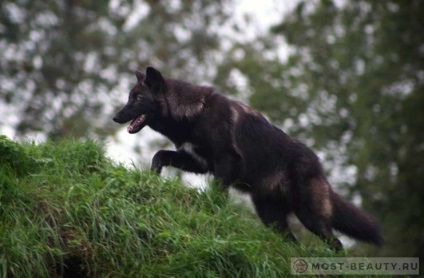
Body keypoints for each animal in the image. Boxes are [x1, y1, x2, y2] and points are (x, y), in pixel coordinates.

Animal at [113, 67, 384, 250]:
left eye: (137, 98)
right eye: (129, 97)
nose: (115, 117)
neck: (196, 114)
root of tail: (319, 165)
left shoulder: (226, 162)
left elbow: (217, 193)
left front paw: (213, 212)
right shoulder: (198, 162)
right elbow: (159, 155)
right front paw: (152, 177)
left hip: (310, 217)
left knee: (336, 243)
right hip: (272, 218)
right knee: (294, 243)